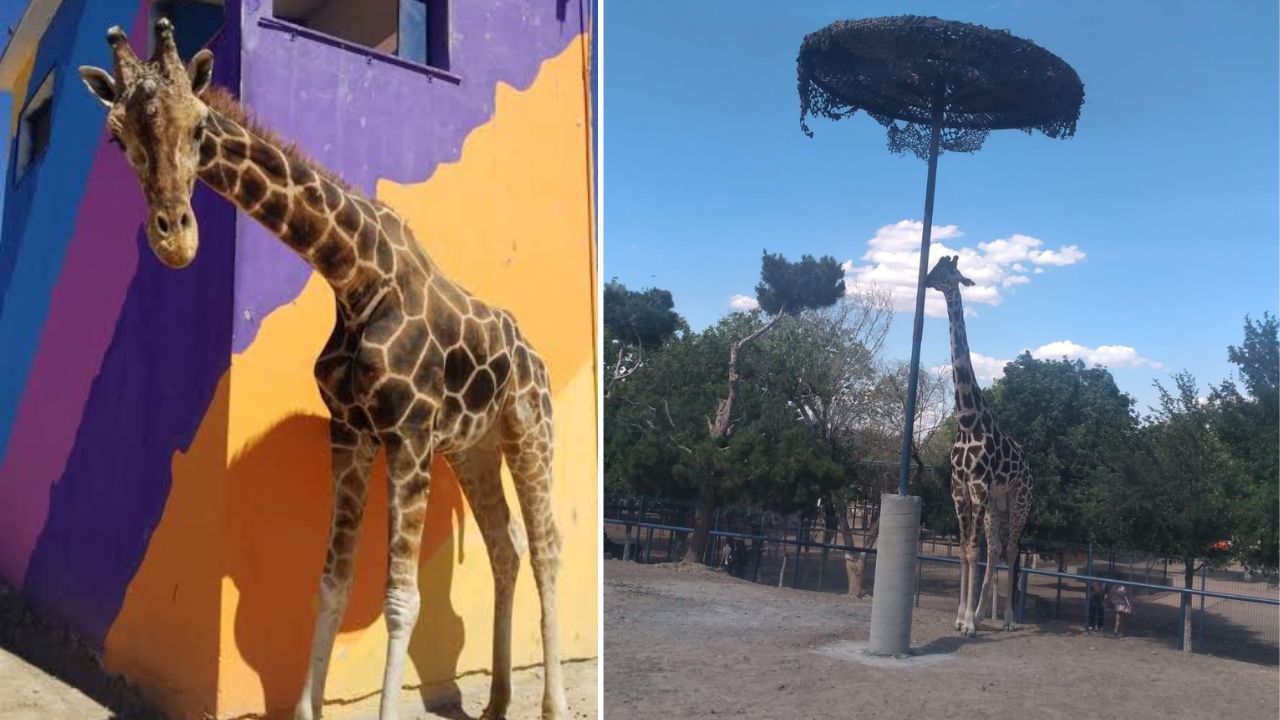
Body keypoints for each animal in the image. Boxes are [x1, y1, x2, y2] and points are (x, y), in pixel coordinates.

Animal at [78, 20, 567, 720]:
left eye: (198, 127)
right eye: (119, 137)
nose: (175, 239)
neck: (355, 276)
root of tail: (535, 355)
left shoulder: (409, 437)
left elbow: (401, 598)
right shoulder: (352, 434)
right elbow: (332, 582)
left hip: (530, 430)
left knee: (548, 547)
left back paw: (552, 704)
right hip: (472, 449)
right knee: (507, 547)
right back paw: (498, 702)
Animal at [924, 255, 1032, 638]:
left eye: (948, 271)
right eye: (935, 265)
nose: (925, 280)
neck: (967, 419)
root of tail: (1031, 470)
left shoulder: (979, 486)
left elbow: (972, 551)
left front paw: (968, 623)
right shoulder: (959, 488)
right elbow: (964, 552)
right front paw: (962, 617)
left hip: (1019, 501)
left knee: (1012, 549)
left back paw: (1009, 618)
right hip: (996, 504)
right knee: (997, 547)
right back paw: (988, 614)